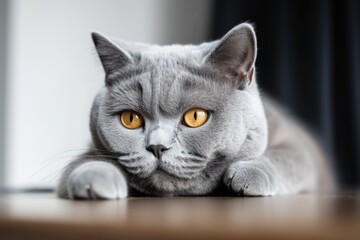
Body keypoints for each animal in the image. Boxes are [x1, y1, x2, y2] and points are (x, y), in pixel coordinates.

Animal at [57, 23, 334, 199]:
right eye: (130, 119)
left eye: (195, 116)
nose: (157, 147)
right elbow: (82, 163)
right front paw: (95, 179)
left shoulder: (295, 147)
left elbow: (286, 158)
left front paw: (249, 173)